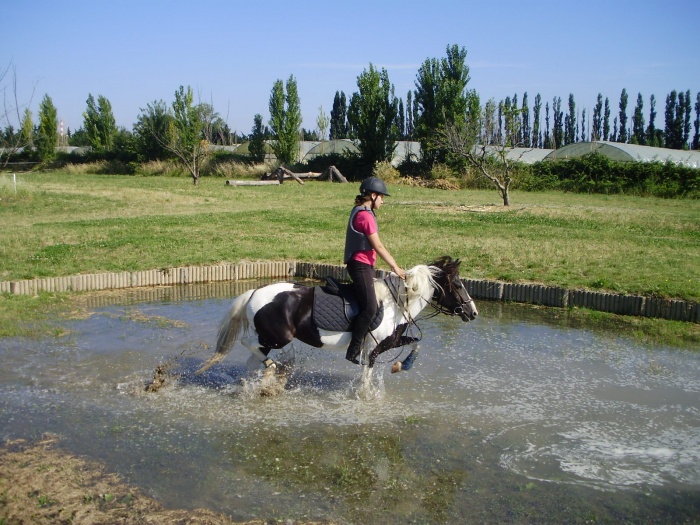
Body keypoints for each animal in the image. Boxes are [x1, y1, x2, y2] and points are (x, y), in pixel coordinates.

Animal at [194, 256, 478, 374]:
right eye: (458, 284)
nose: (473, 312)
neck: (397, 304)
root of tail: (254, 293)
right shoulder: (373, 349)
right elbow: (367, 376)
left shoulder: (392, 342)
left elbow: (416, 344)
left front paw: (402, 365)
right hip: (277, 337)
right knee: (248, 343)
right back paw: (273, 367)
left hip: (272, 338)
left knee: (255, 355)